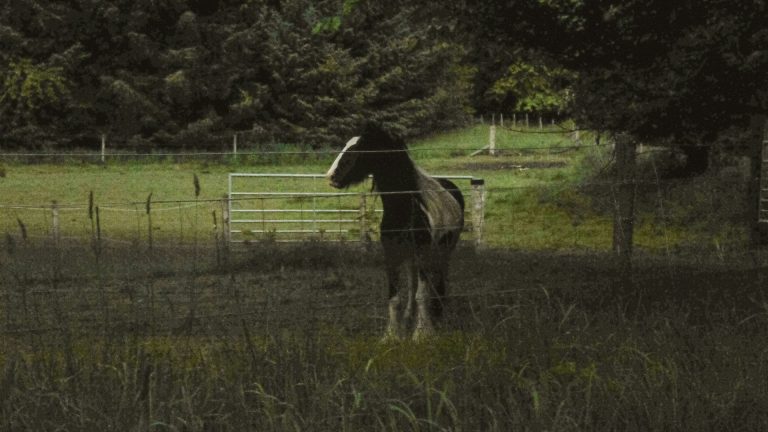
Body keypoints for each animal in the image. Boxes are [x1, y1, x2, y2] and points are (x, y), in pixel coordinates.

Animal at [326, 123, 464, 340]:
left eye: (357, 150)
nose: (331, 176)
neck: (404, 208)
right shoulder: (391, 254)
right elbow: (395, 297)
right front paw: (392, 334)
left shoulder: (423, 253)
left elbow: (422, 295)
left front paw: (421, 334)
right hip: (411, 258)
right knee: (413, 284)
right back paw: (410, 318)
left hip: (443, 252)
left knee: (439, 283)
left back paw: (438, 316)